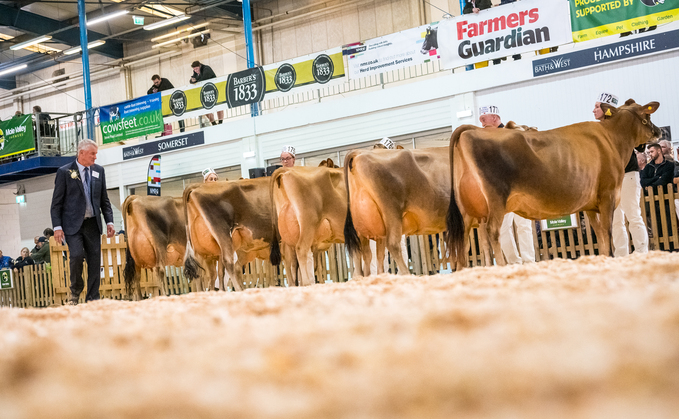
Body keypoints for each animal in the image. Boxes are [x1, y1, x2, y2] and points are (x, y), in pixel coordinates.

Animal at [342, 148, 454, 276]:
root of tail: (359, 152)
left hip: (366, 226)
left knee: (366, 254)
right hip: (391, 213)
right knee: (392, 245)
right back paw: (405, 274)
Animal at [446, 100, 660, 268]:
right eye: (647, 116)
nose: (657, 131)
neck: (611, 139)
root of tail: (472, 129)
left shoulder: (590, 204)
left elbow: (600, 235)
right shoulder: (607, 195)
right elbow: (607, 233)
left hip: (468, 209)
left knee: (465, 240)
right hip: (496, 201)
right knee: (492, 232)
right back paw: (501, 267)